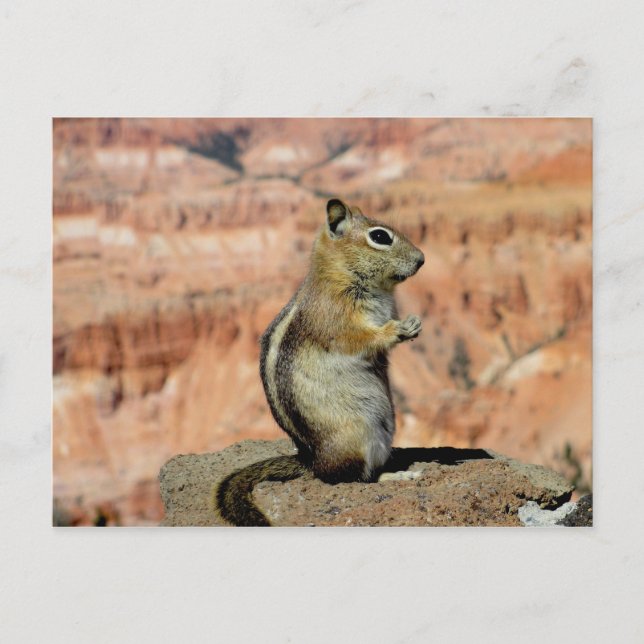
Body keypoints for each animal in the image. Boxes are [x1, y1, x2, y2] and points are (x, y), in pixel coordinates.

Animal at [214, 198, 425, 526]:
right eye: (380, 237)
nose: (421, 259)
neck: (341, 273)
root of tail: (312, 461)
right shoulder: (337, 319)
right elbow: (360, 339)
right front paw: (397, 329)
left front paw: (412, 324)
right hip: (357, 437)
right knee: (350, 479)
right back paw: (398, 476)